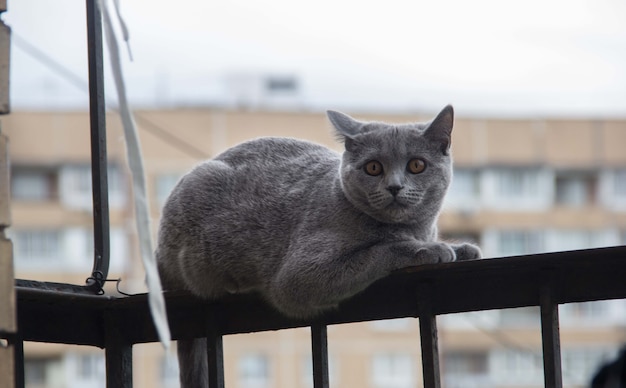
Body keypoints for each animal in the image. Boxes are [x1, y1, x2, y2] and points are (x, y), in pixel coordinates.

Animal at [154, 104, 480, 386]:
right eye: (373, 168)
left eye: (416, 165)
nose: (395, 187)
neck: (413, 227)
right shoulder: (298, 274)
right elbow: (382, 249)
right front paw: (430, 250)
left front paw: (463, 249)